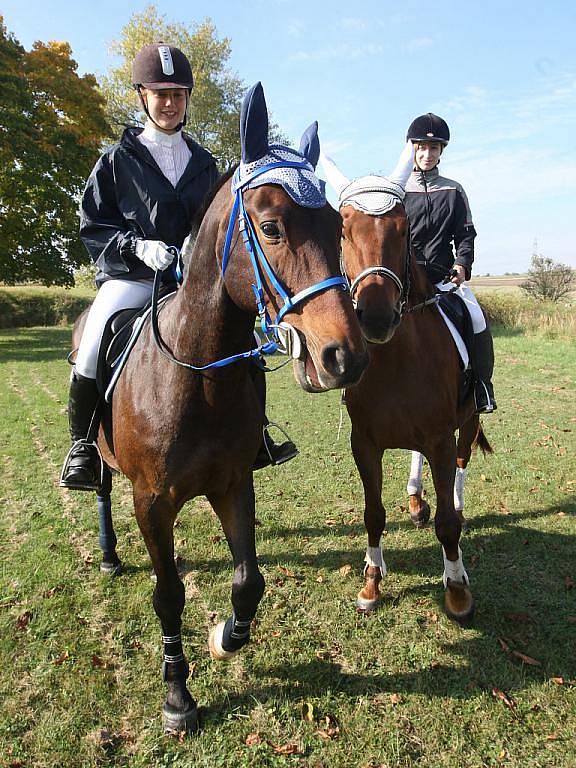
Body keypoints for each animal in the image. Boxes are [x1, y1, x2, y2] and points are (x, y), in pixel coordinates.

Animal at [74, 84, 366, 732]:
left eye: (336, 226)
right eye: (271, 226)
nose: (343, 357)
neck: (195, 374)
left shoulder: (234, 483)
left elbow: (249, 580)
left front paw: (227, 637)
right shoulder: (152, 502)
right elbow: (168, 595)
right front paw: (177, 695)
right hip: (104, 460)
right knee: (100, 485)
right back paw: (107, 555)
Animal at [322, 144, 484, 624]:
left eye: (403, 228)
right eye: (342, 230)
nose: (375, 317)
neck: (394, 361)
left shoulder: (441, 439)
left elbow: (447, 524)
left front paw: (456, 589)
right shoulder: (365, 443)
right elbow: (373, 514)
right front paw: (372, 583)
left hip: (468, 422)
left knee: (462, 466)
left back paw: (454, 502)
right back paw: (415, 499)